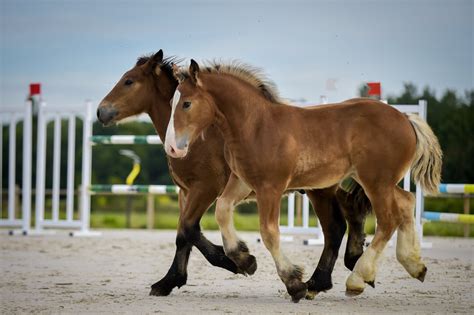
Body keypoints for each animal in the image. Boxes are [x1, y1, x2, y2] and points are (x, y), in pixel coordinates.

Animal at [95, 50, 370, 300]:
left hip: (319, 190)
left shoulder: (205, 188)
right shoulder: (186, 192)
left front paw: (241, 262)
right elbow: (182, 234)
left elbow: (189, 229)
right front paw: (169, 281)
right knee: (350, 212)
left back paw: (319, 280)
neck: (200, 138)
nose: (100, 112)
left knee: (335, 227)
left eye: (129, 81)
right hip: (324, 188)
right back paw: (348, 263)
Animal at [166, 59, 440, 304]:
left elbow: (269, 233)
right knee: (406, 201)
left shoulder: (270, 188)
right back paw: (414, 265)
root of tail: (405, 118)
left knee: (387, 220)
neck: (255, 126)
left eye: (187, 103)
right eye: (172, 103)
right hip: (380, 182)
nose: (172, 148)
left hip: (375, 182)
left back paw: (357, 279)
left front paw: (294, 283)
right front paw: (245, 259)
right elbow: (222, 210)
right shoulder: (243, 182)